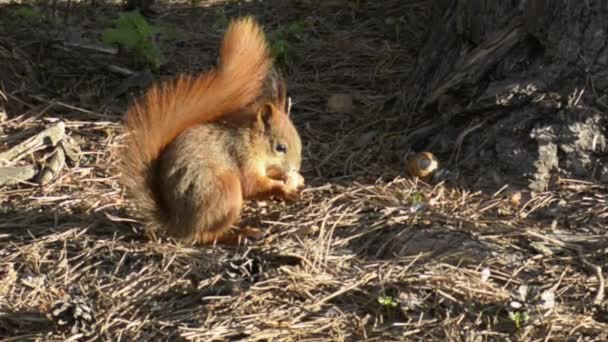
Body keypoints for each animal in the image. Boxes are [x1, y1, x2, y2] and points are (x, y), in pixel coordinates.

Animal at [117, 16, 304, 246]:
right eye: (280, 147)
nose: (295, 168)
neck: (251, 140)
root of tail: (178, 224)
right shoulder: (241, 157)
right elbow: (252, 185)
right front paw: (283, 188)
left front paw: (294, 179)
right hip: (224, 192)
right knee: (205, 235)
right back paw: (241, 234)